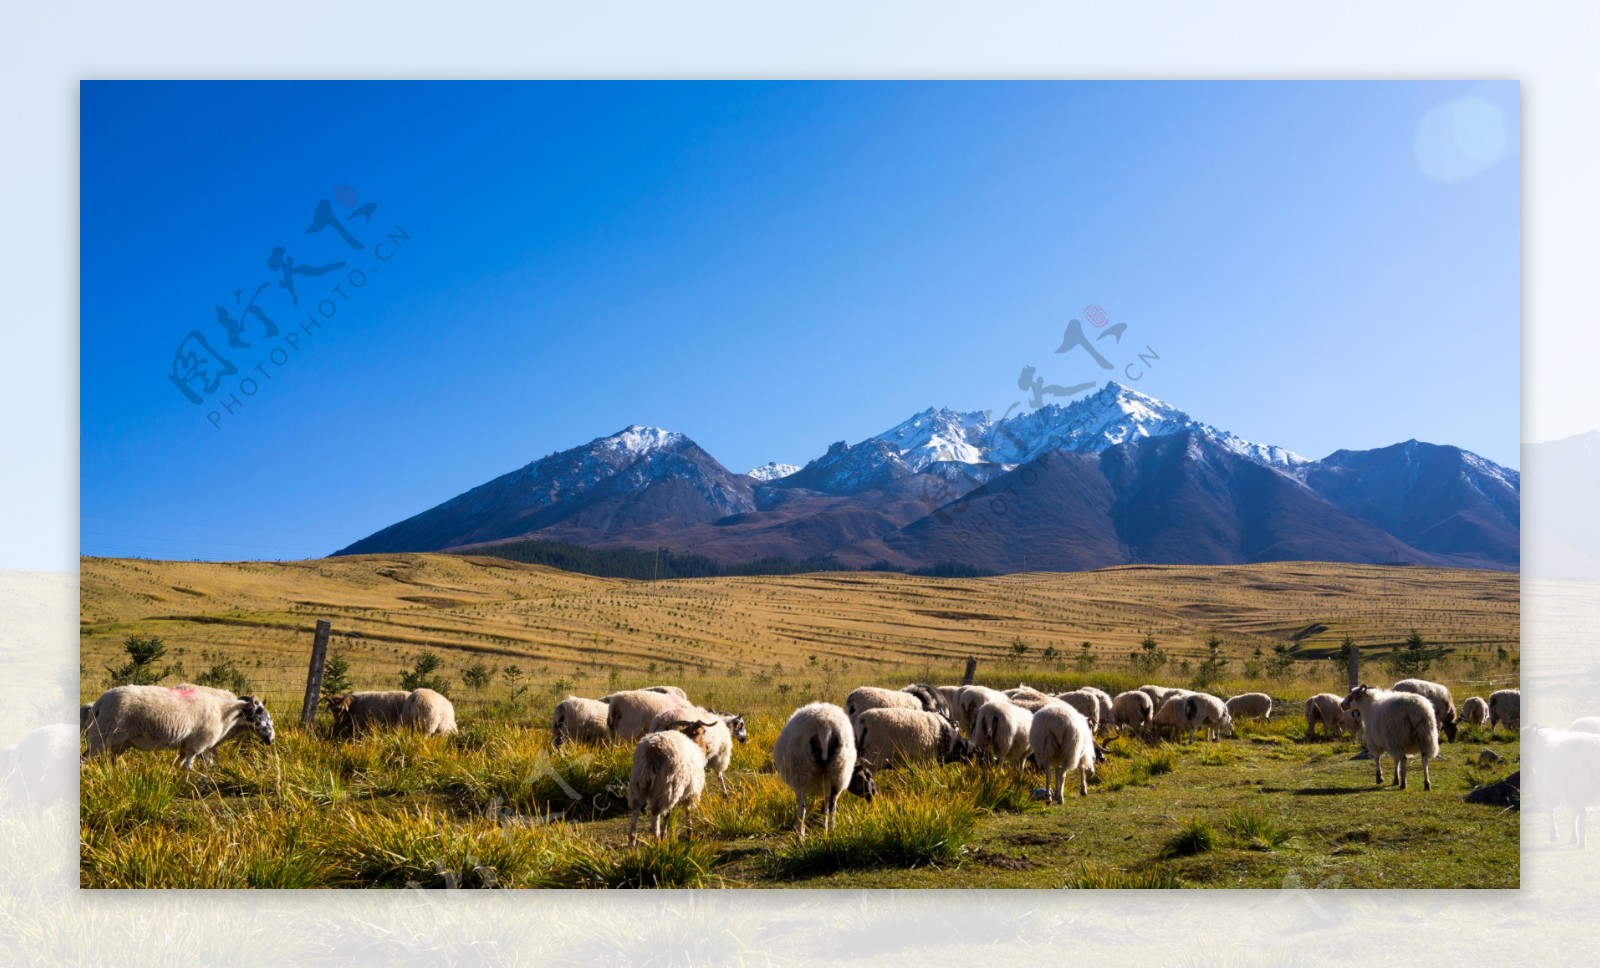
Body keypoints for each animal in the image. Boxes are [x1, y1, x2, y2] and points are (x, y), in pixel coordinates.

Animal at [82, 687, 275, 770]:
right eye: (261, 712)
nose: (271, 740)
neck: (223, 712)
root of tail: (99, 702)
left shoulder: (189, 745)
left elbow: (181, 764)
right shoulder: (198, 743)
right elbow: (190, 765)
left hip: (118, 742)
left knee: (111, 760)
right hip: (101, 735)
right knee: (84, 758)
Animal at [624, 716, 720, 844]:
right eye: (704, 732)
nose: (708, 747)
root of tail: (653, 749)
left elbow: (668, 814)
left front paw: (665, 834)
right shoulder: (691, 790)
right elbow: (686, 810)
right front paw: (689, 832)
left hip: (639, 782)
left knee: (635, 809)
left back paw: (632, 841)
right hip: (667, 786)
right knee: (655, 813)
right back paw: (657, 840)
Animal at [771, 706, 876, 844]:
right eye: (868, 775)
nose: (873, 793)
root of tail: (825, 728)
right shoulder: (827, 787)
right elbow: (825, 808)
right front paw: (824, 830)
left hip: (802, 771)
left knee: (803, 806)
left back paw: (801, 836)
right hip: (838, 770)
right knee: (832, 806)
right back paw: (831, 833)